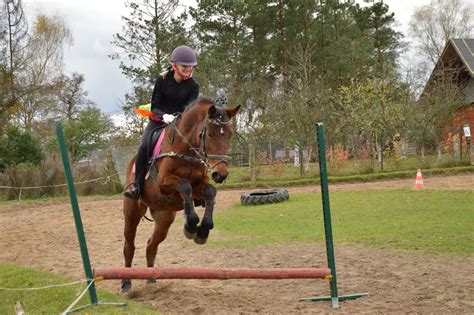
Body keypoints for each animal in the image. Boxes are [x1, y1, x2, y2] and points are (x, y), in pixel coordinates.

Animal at [122, 97, 241, 292]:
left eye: (229, 134)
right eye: (210, 135)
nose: (220, 174)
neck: (186, 147)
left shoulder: (200, 184)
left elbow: (210, 191)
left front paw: (203, 230)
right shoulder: (164, 182)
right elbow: (185, 187)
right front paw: (191, 225)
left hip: (164, 217)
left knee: (151, 245)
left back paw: (151, 279)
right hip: (132, 212)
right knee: (129, 246)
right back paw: (126, 283)